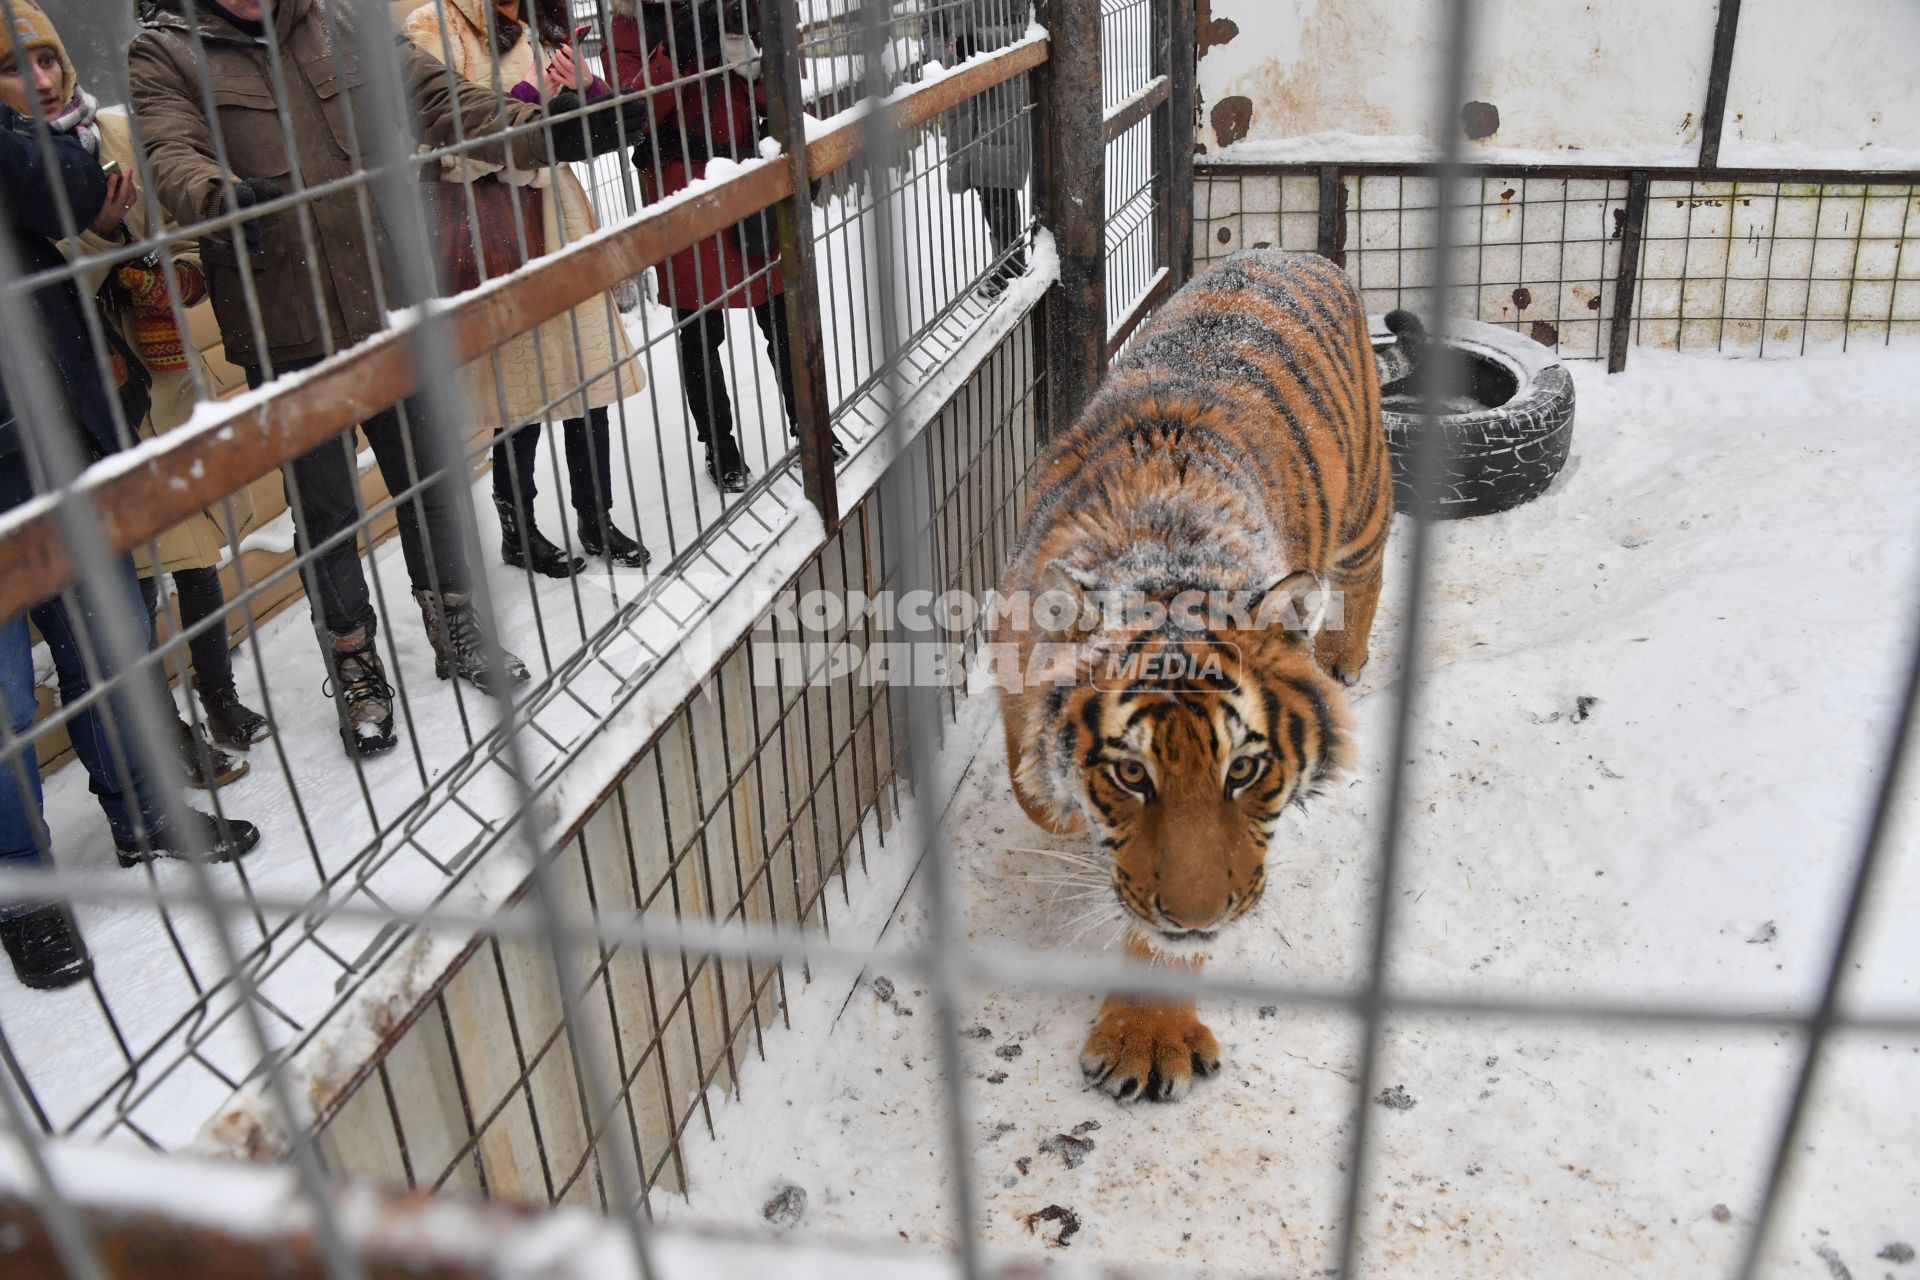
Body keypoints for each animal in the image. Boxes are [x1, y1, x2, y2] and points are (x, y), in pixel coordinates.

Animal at [998, 247, 1390, 1105]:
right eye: (1130, 774)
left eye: (1243, 770)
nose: (1200, 915)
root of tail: (1295, 251)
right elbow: (1033, 786)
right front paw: (1067, 814)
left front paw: (1147, 1039)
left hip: (1366, 505)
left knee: (1368, 571)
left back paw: (1342, 656)